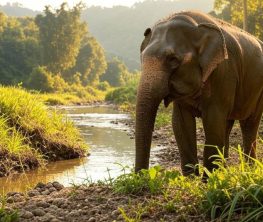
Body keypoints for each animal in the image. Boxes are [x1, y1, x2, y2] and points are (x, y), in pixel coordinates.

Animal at [136, 10, 263, 175]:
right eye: (142, 58)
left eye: (172, 59)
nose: (142, 176)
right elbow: (180, 123)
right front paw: (192, 178)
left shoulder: (223, 72)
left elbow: (213, 121)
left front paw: (209, 178)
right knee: (227, 124)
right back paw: (225, 171)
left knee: (249, 123)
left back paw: (248, 169)